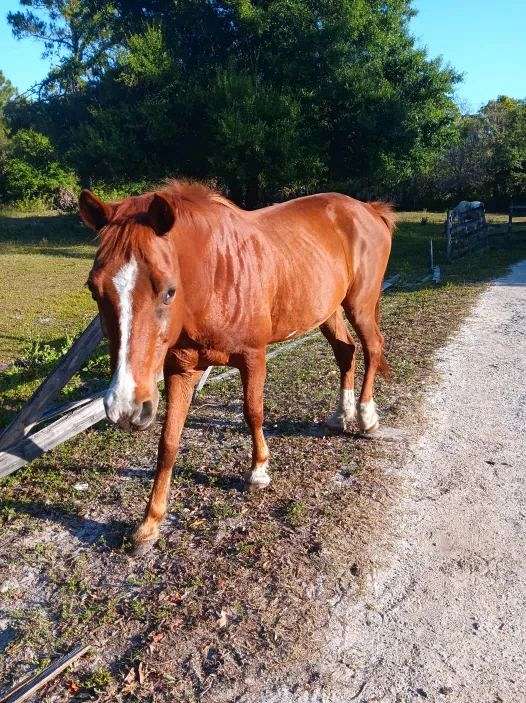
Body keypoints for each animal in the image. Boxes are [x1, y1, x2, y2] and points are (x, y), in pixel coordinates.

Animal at [80, 180, 394, 553]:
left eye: (168, 291)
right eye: (94, 290)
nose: (126, 408)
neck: (214, 278)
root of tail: (368, 209)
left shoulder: (253, 356)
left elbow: (253, 412)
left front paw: (258, 471)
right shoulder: (180, 371)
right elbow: (168, 443)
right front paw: (149, 524)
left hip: (361, 304)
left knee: (372, 349)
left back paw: (367, 416)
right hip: (328, 310)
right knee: (346, 352)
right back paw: (340, 415)